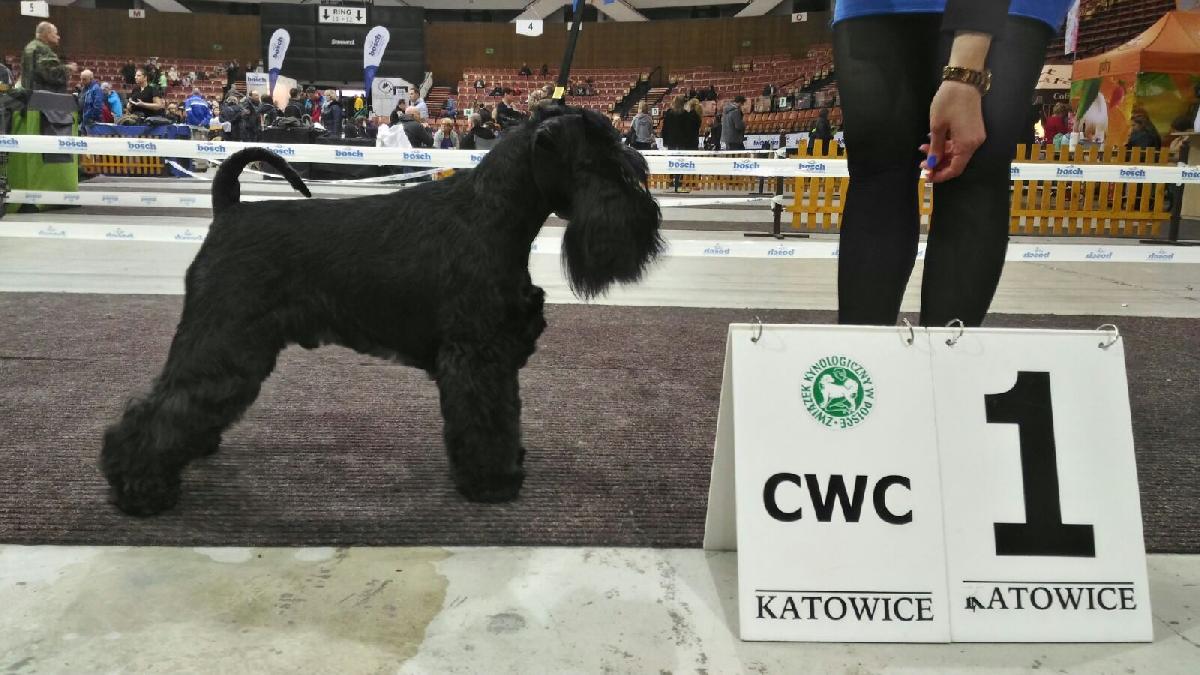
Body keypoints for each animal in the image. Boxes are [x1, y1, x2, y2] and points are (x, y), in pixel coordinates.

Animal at [101, 104, 663, 516]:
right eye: (601, 164)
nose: (646, 220)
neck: (491, 214)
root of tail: (228, 210)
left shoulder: (494, 356)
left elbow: (505, 414)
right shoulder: (477, 357)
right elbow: (487, 421)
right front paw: (493, 483)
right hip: (224, 337)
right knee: (163, 406)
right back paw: (140, 488)